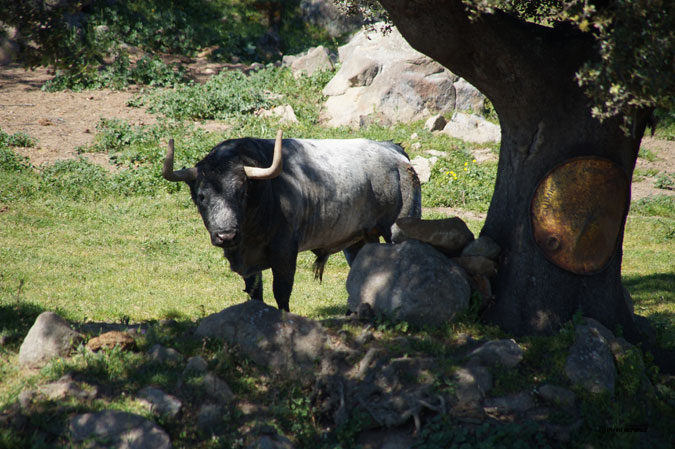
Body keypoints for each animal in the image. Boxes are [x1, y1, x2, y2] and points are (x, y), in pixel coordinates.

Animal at [161, 130, 420, 312]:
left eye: (242, 192)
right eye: (201, 196)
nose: (226, 235)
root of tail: (394, 151)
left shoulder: (284, 251)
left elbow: (281, 291)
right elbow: (255, 292)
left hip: (399, 228)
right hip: (358, 239)